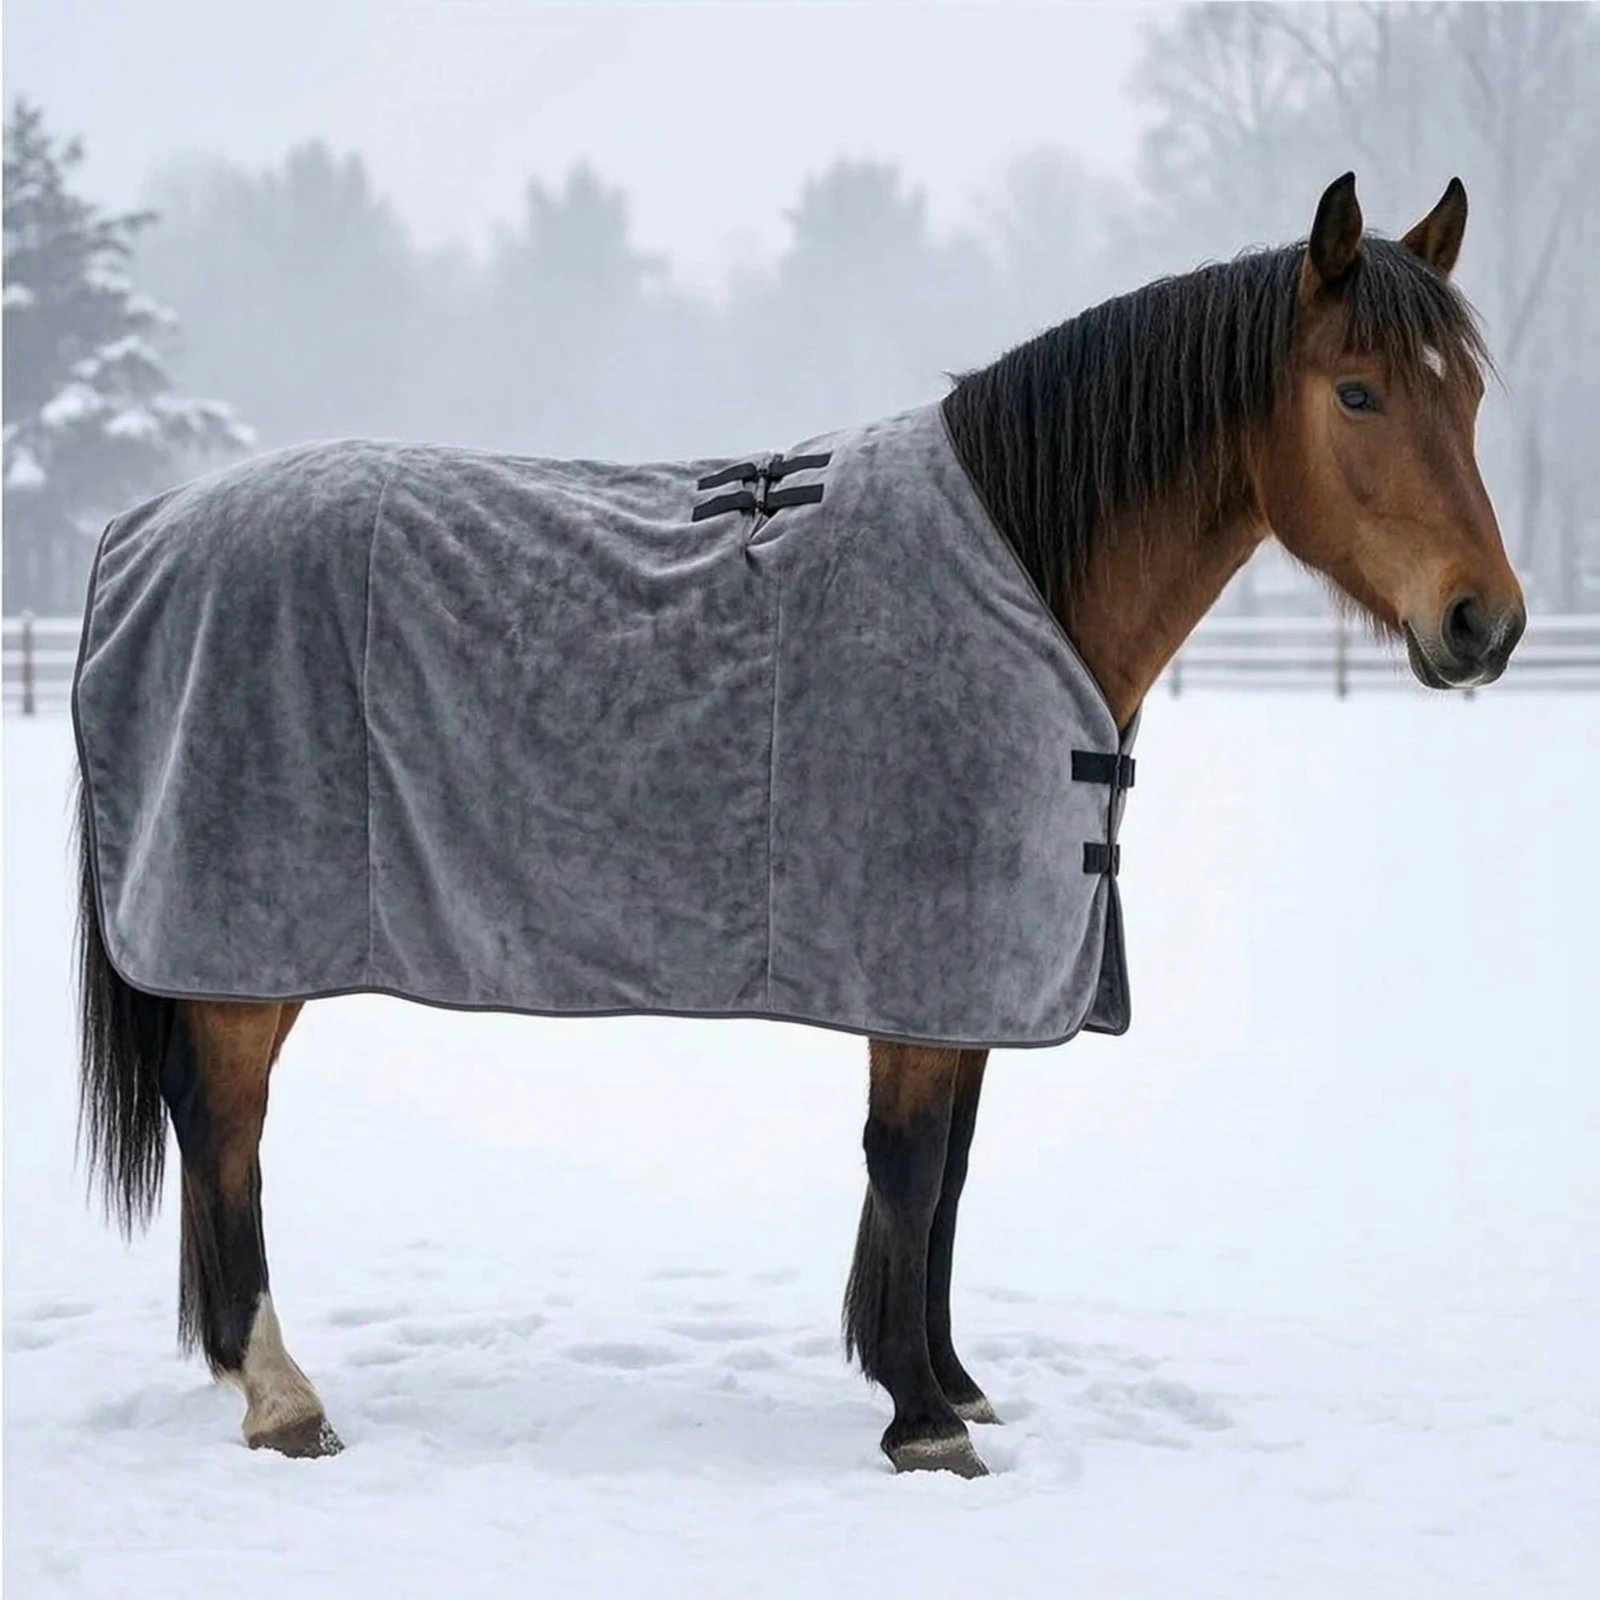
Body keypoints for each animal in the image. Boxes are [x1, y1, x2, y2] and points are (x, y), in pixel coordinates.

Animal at [72, 173, 1524, 1477]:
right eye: (1356, 392)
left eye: (1468, 393)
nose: (1484, 622)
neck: (1021, 568)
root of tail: (139, 534)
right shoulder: (915, 955)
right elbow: (911, 1162)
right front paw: (921, 1419)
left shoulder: (972, 973)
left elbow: (950, 1173)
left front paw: (951, 1378)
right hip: (243, 934)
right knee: (227, 1126)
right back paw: (280, 1397)